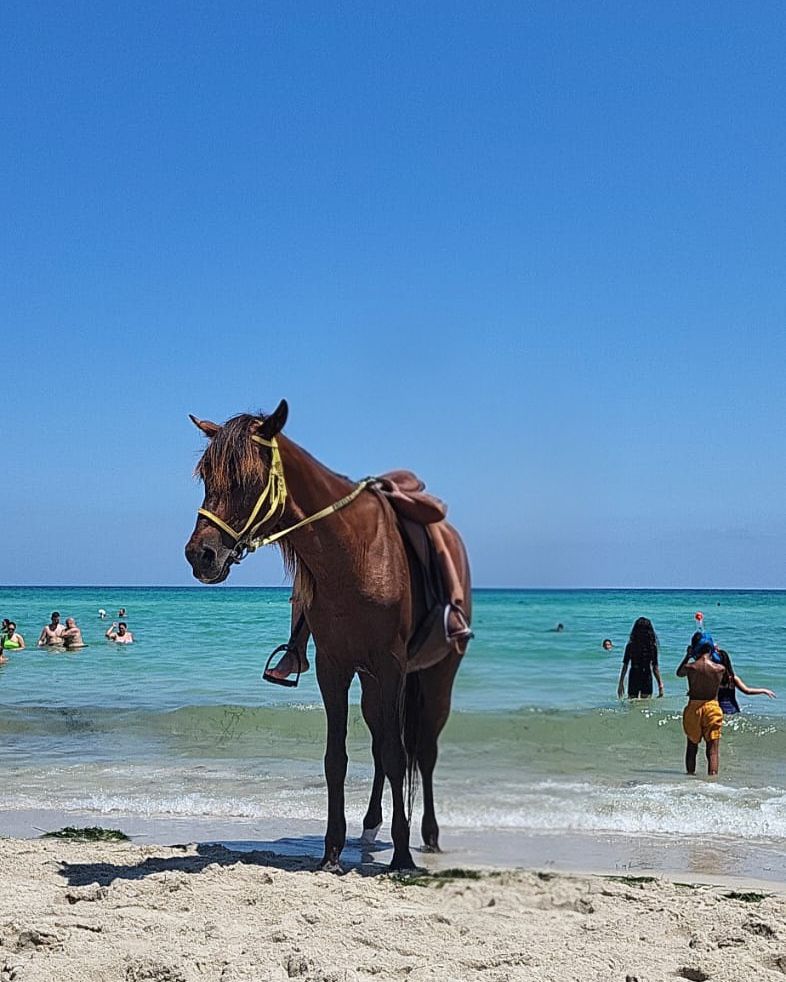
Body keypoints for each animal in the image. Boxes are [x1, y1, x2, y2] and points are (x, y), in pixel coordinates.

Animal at [184, 400, 471, 871]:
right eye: (206, 475)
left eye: (247, 478)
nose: (200, 555)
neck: (352, 553)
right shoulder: (332, 667)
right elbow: (337, 758)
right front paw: (332, 852)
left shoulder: (390, 666)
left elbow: (399, 755)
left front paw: (402, 856)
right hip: (373, 683)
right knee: (381, 743)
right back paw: (370, 827)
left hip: (436, 674)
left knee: (423, 750)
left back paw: (427, 836)